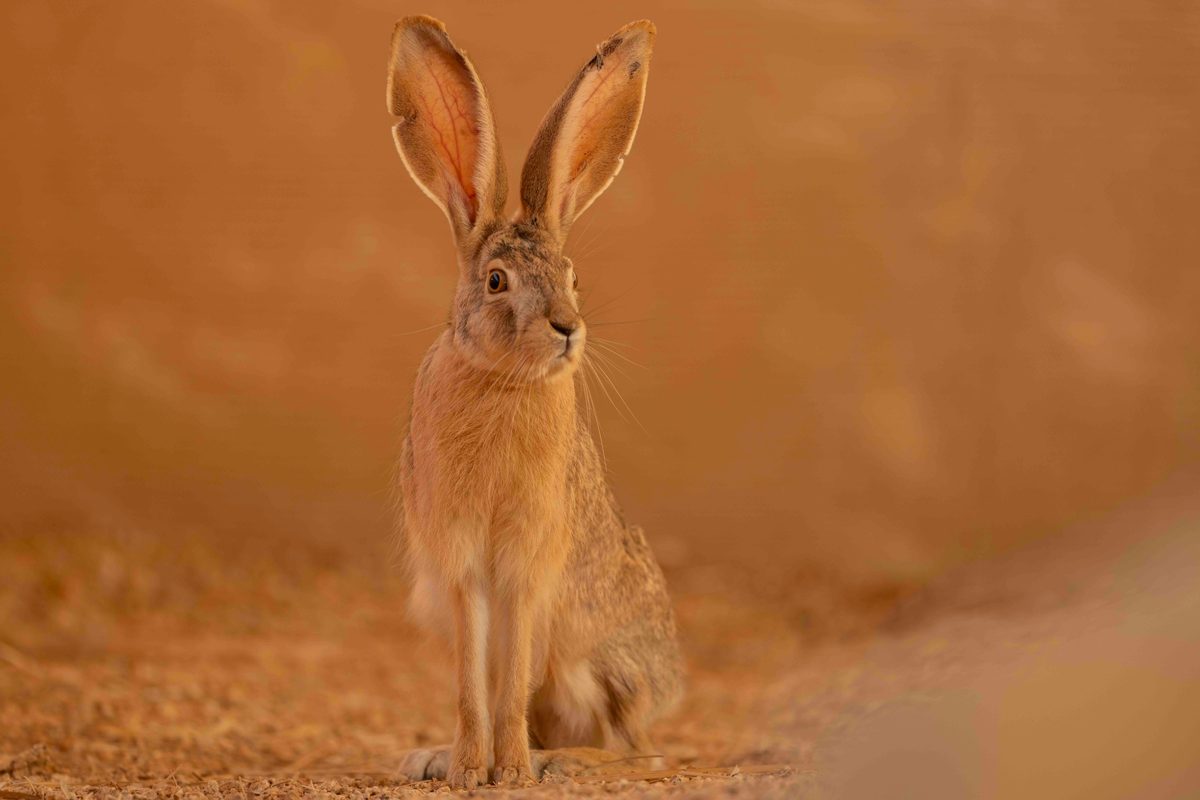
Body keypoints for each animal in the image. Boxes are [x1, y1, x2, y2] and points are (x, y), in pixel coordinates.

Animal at [387, 15, 683, 789]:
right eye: (496, 281)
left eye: (573, 275)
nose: (568, 327)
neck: (504, 381)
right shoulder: (460, 565)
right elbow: (474, 686)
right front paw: (467, 770)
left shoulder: (526, 562)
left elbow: (509, 676)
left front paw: (512, 773)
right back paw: (435, 757)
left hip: (597, 666)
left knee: (637, 749)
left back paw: (556, 759)